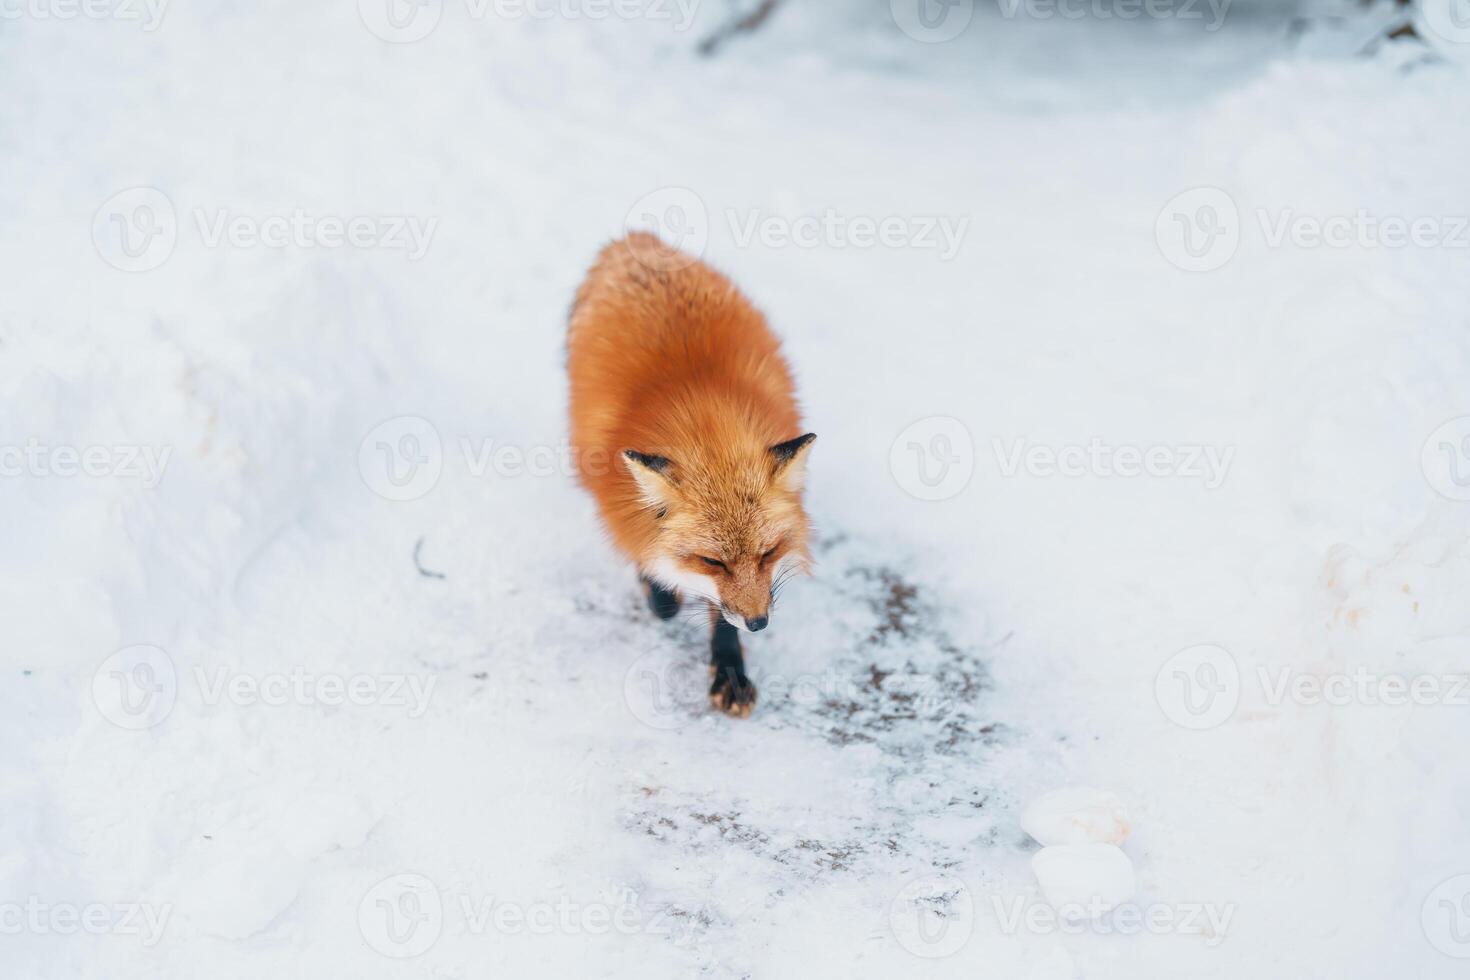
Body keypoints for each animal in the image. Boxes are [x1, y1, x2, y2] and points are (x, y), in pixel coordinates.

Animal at [567, 233, 817, 717]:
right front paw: (663, 593)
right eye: (713, 561)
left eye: (769, 553)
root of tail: (636, 240)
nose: (759, 623)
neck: (706, 421)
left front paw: (729, 670)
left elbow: (721, 612)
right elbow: (659, 568)